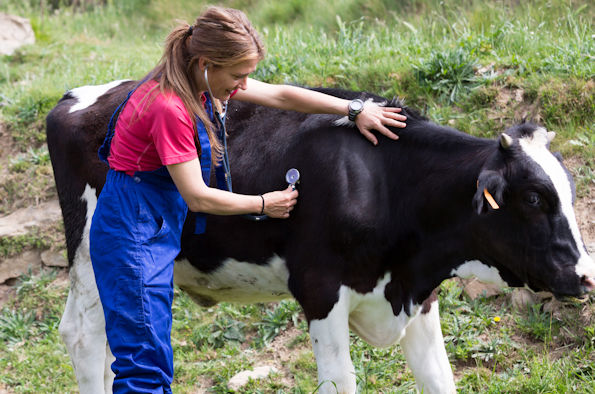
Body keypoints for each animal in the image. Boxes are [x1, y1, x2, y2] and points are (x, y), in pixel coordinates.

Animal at [46, 78, 595, 392]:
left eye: (568, 191)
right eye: (533, 199)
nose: (587, 276)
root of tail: (76, 98)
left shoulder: (419, 295)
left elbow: (439, 379)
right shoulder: (319, 290)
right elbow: (340, 381)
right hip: (94, 250)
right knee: (84, 336)